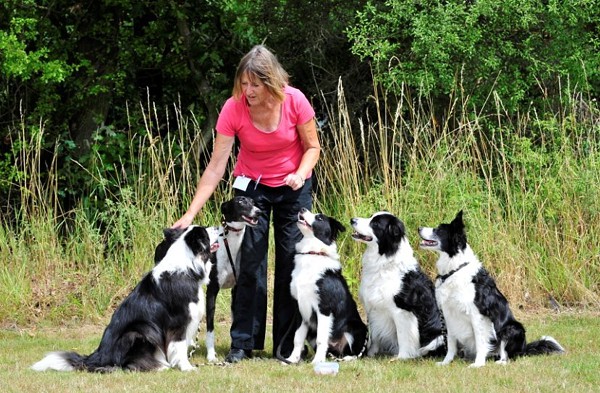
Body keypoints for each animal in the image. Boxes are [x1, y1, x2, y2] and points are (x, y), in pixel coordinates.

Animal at [31, 225, 219, 372]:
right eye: (206, 232)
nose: (219, 227)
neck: (187, 268)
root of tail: (96, 357)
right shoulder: (179, 320)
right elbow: (179, 346)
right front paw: (187, 367)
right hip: (139, 330)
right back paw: (158, 366)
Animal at [204, 196, 260, 362]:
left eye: (253, 202)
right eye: (240, 201)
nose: (258, 212)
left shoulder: (236, 289)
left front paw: (237, 350)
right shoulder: (212, 291)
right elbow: (210, 327)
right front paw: (211, 355)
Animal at [284, 207, 368, 362]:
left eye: (319, 218)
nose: (302, 209)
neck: (313, 253)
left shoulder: (324, 308)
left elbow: (322, 339)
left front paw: (317, 361)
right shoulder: (300, 309)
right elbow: (297, 337)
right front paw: (292, 359)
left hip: (356, 327)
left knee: (355, 352)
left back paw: (347, 358)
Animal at [352, 211, 446, 358]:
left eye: (375, 224)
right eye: (370, 217)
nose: (352, 220)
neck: (385, 262)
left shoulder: (402, 311)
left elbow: (403, 337)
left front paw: (402, 357)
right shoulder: (373, 308)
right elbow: (373, 334)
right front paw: (370, 354)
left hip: (438, 337)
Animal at [420, 211, 564, 368]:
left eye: (438, 230)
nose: (418, 228)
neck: (455, 269)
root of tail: (524, 348)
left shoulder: (477, 315)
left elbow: (480, 342)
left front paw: (478, 364)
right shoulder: (448, 314)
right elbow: (451, 343)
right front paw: (446, 362)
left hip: (511, 329)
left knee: (507, 354)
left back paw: (500, 362)